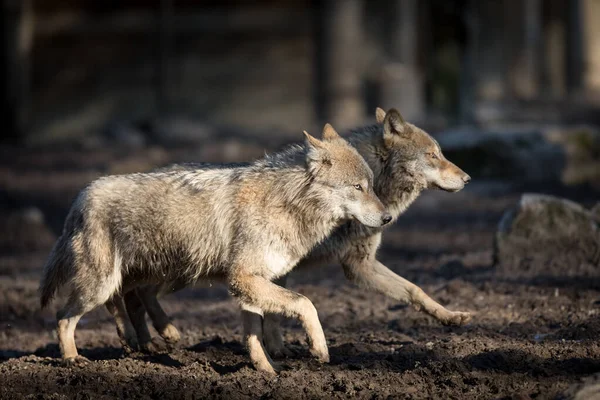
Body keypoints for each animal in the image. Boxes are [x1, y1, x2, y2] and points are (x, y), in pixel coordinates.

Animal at [39, 123, 392, 374]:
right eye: (358, 187)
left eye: (372, 186)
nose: (388, 217)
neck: (286, 204)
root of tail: (81, 196)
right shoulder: (244, 279)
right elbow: (305, 303)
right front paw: (318, 349)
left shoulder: (250, 283)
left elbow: (254, 334)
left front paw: (267, 370)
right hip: (107, 284)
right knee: (63, 316)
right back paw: (72, 359)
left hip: (157, 275)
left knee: (126, 299)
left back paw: (146, 341)